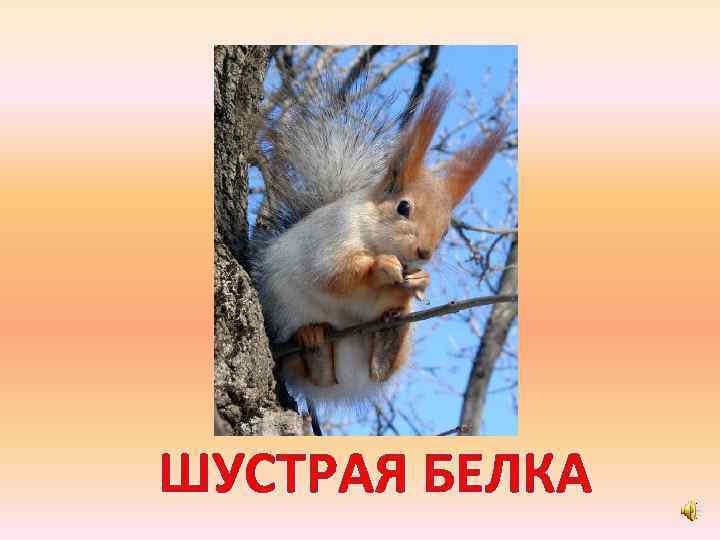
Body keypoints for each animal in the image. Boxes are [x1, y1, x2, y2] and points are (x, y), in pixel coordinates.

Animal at [251, 78, 505, 429]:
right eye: (403, 207)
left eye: (445, 231)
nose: (424, 253)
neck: (373, 234)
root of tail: (348, 381)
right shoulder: (332, 238)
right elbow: (335, 274)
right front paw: (381, 267)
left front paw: (419, 280)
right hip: (284, 316)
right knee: (310, 371)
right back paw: (313, 341)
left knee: (382, 368)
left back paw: (389, 334)